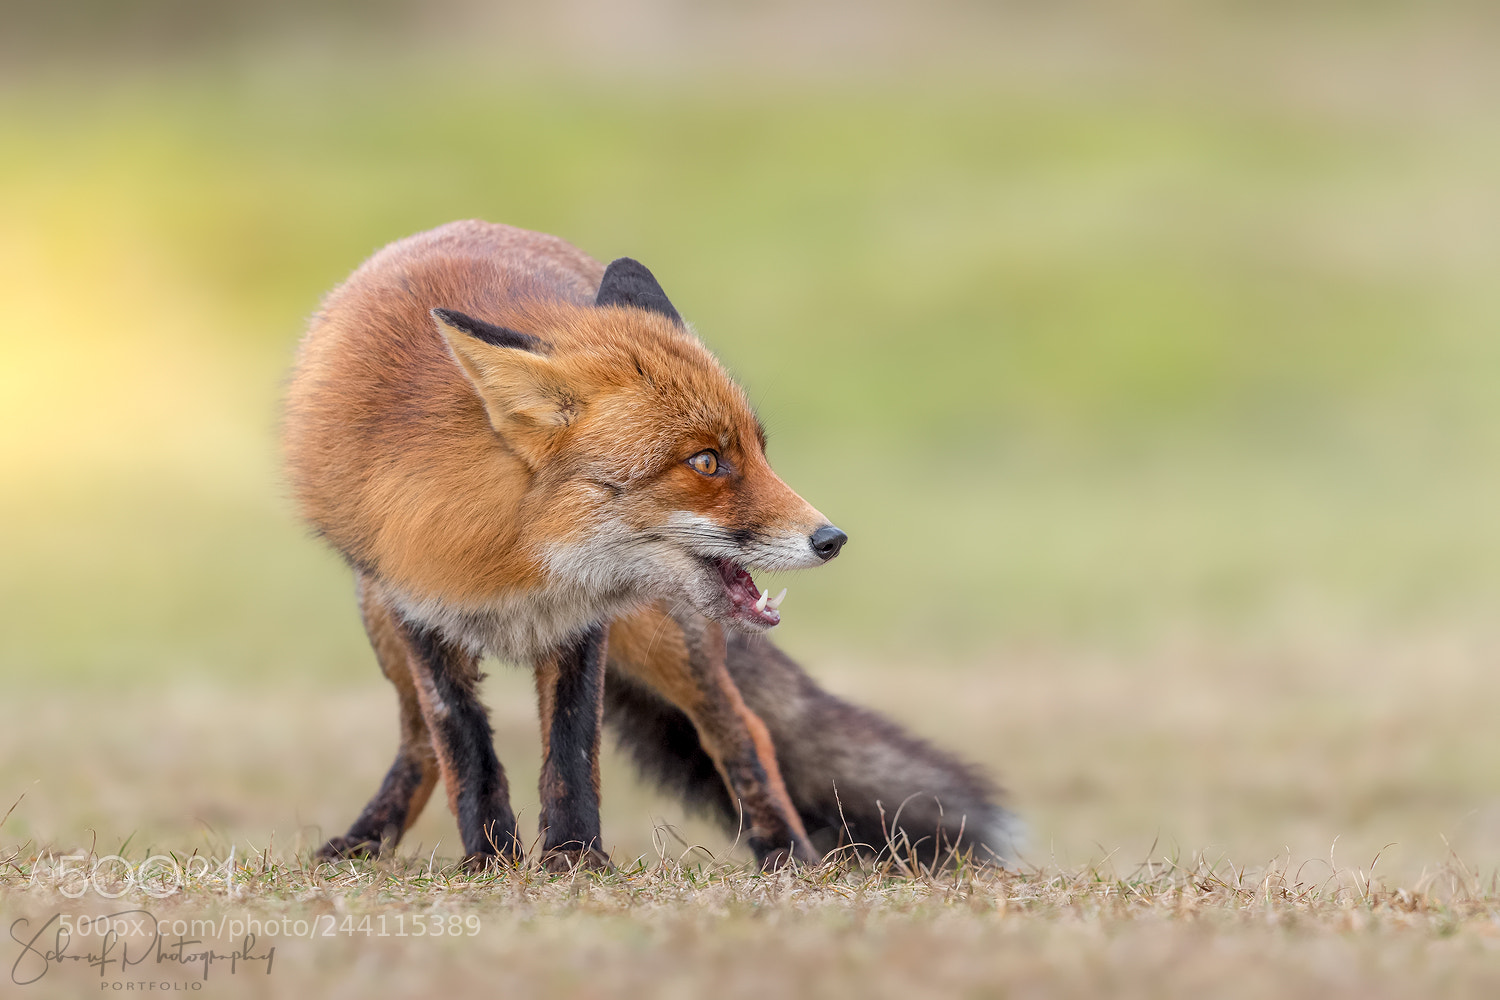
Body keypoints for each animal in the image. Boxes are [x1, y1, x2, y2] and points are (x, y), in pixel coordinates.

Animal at [285, 220, 1018, 871]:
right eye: (706, 462)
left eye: (758, 450)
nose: (831, 538)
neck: (511, 557)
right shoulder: (419, 611)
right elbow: (465, 748)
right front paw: (490, 861)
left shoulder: (583, 623)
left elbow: (572, 749)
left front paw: (574, 858)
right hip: (381, 626)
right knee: (419, 744)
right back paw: (366, 840)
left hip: (664, 636)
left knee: (744, 729)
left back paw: (787, 854)